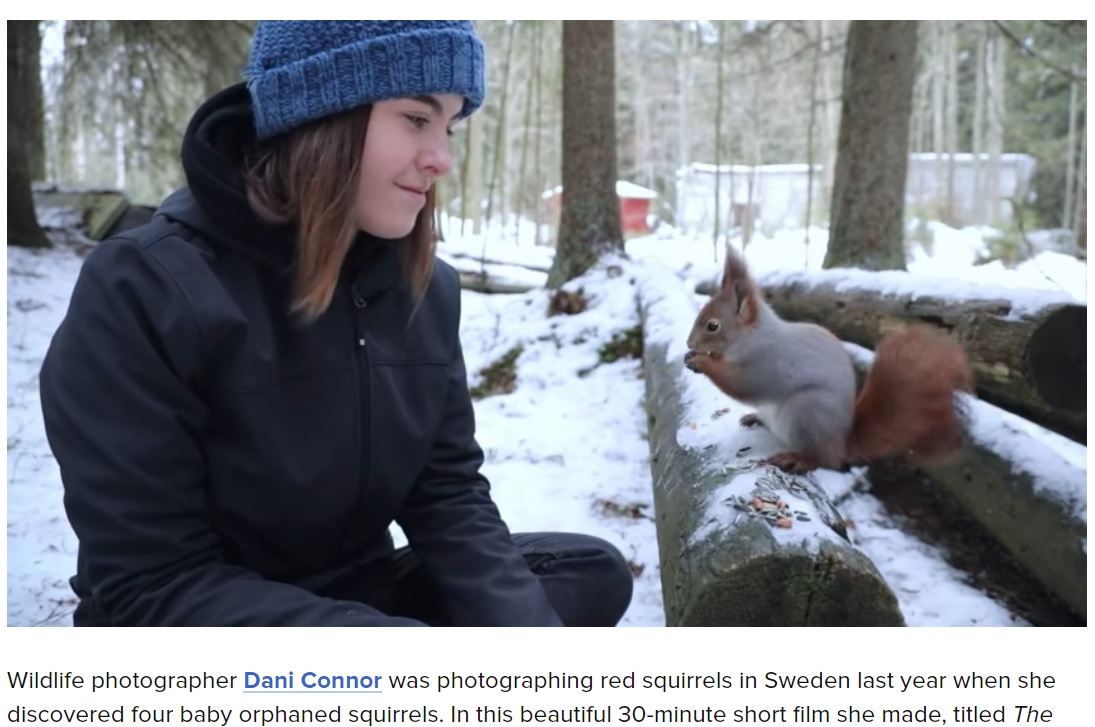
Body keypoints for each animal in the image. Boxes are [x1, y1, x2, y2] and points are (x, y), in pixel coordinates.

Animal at [683, 249, 976, 475]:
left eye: (713, 326)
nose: (689, 344)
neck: (753, 338)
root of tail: (841, 444)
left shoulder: (769, 363)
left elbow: (743, 385)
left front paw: (703, 363)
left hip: (808, 411)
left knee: (823, 460)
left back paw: (798, 459)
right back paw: (756, 418)